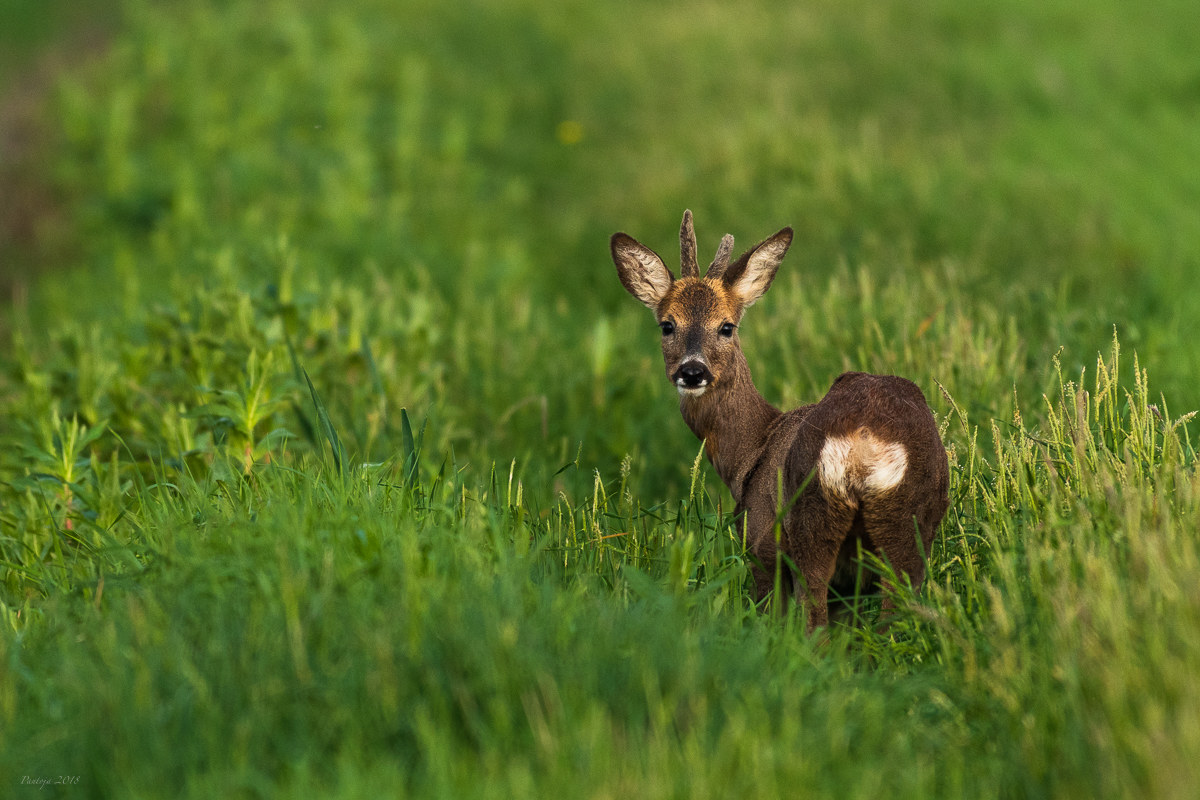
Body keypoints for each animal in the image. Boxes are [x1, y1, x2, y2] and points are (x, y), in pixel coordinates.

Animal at [611, 210, 950, 630]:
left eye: (726, 326)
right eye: (667, 325)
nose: (692, 371)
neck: (752, 448)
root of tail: (865, 442)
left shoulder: (759, 542)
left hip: (809, 516)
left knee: (815, 616)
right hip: (912, 521)